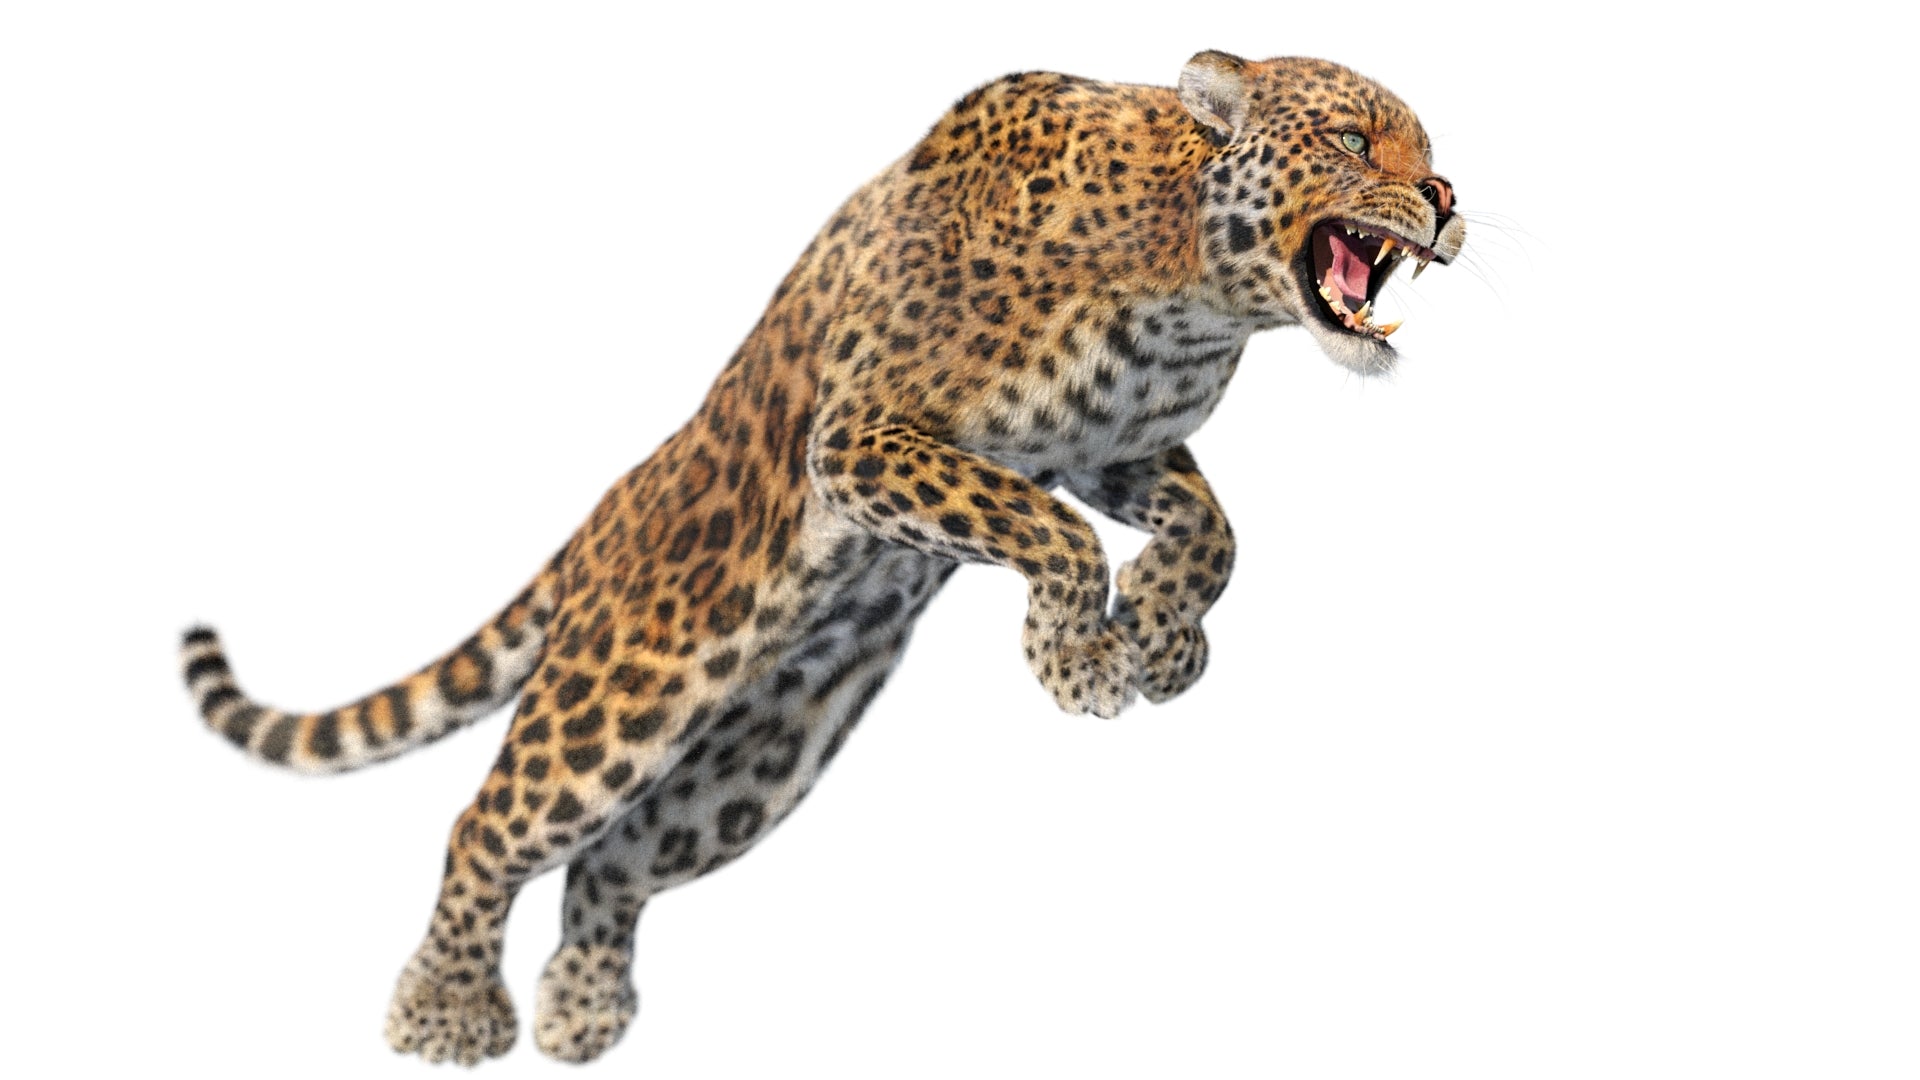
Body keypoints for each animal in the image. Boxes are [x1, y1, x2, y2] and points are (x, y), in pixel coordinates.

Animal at [179, 50, 1462, 1065]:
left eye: (1432, 151)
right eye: (1355, 141)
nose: (1449, 198)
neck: (1190, 284)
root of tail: (598, 526)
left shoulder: (1111, 447)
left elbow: (1214, 529)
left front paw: (1159, 633)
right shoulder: (862, 439)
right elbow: (1046, 529)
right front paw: (1081, 660)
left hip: (762, 756)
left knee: (613, 865)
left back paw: (584, 1012)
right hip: (624, 691)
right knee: (488, 829)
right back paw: (444, 1013)